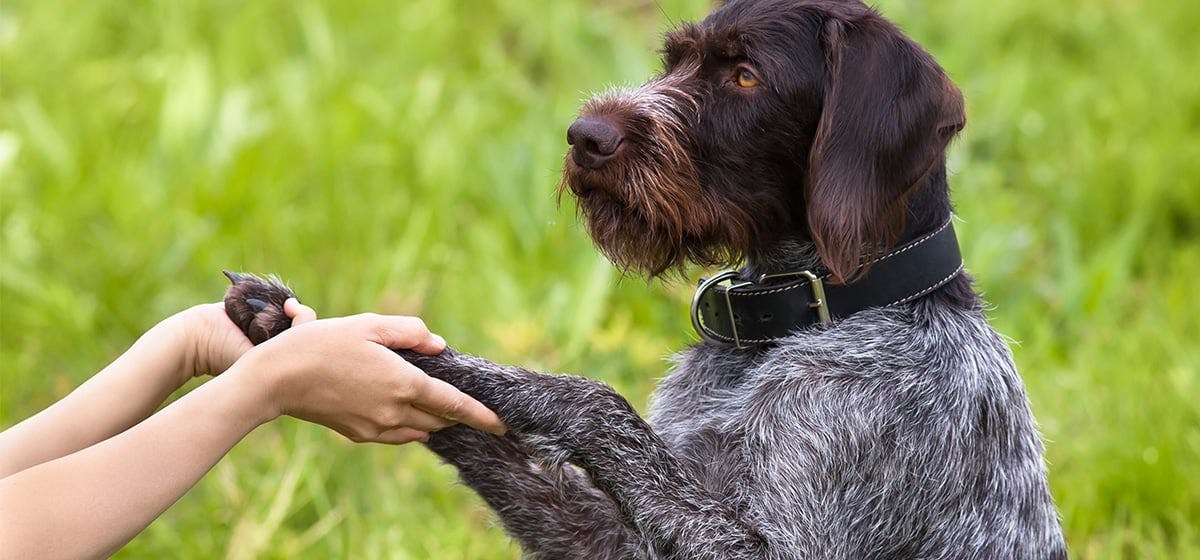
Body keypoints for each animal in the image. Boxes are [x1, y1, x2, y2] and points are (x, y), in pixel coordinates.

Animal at [220, 1, 1065, 556]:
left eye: (746, 75)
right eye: (675, 62)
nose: (585, 135)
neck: (807, 317)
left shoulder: (767, 547)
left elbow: (594, 400)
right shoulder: (618, 536)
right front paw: (316, 336)